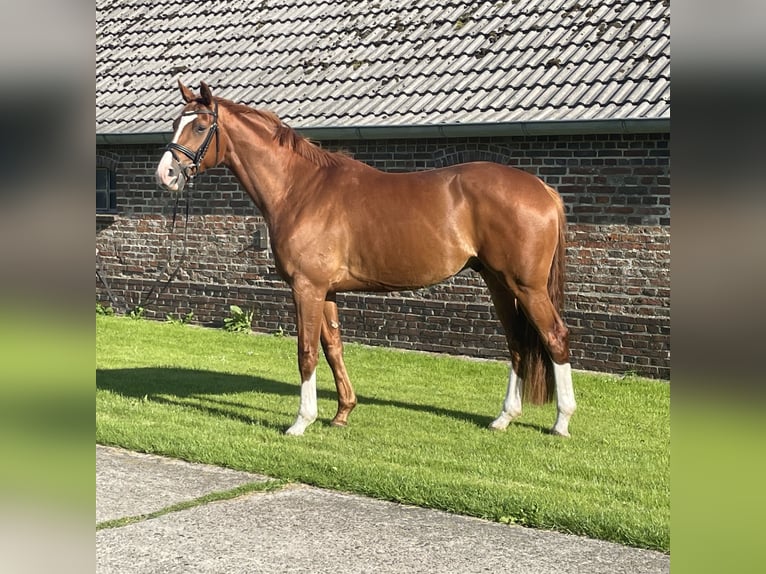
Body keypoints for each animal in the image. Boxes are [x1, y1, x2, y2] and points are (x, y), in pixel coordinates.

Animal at [154, 81, 576, 438]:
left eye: (200, 125)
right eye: (175, 123)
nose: (166, 174)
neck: (300, 189)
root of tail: (542, 189)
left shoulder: (306, 288)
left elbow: (306, 352)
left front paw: (300, 422)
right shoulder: (326, 291)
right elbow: (333, 348)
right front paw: (342, 412)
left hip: (527, 286)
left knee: (555, 336)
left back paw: (561, 422)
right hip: (498, 282)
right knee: (517, 342)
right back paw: (504, 418)